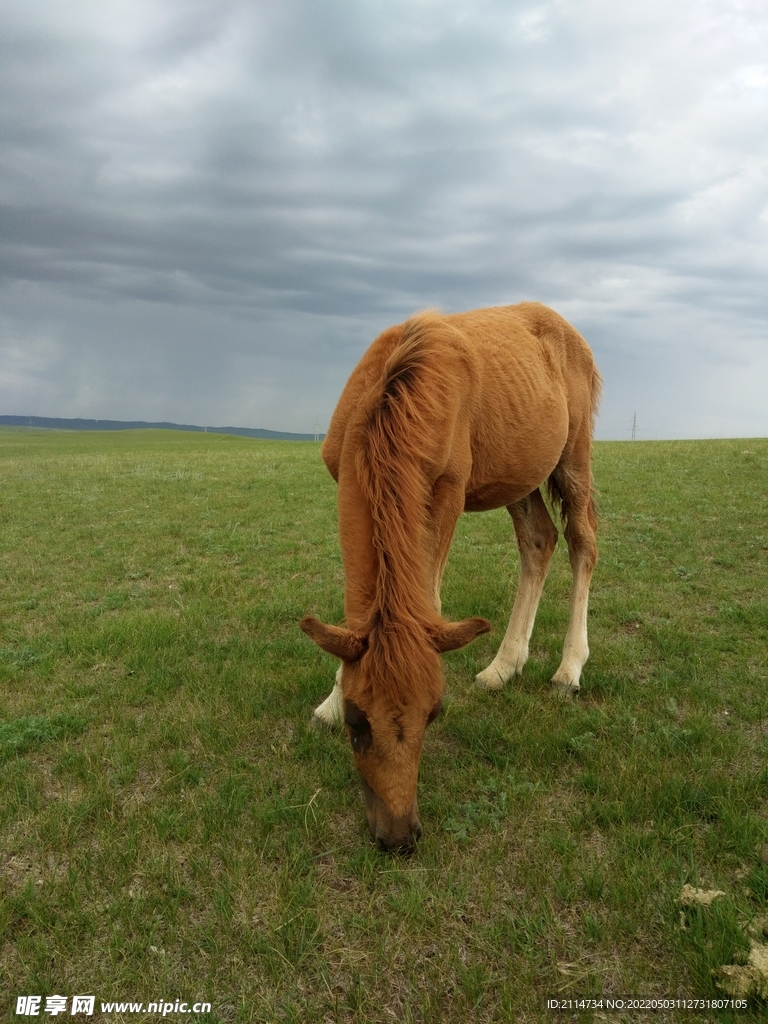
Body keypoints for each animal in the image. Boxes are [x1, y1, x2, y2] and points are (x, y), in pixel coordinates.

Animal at [301, 299, 602, 851]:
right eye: (357, 721)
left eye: (433, 714)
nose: (399, 836)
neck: (398, 393)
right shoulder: (344, 477)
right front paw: (327, 703)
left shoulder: (447, 492)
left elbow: (430, 597)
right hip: (517, 473)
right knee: (538, 541)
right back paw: (503, 667)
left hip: (573, 454)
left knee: (581, 543)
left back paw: (568, 670)